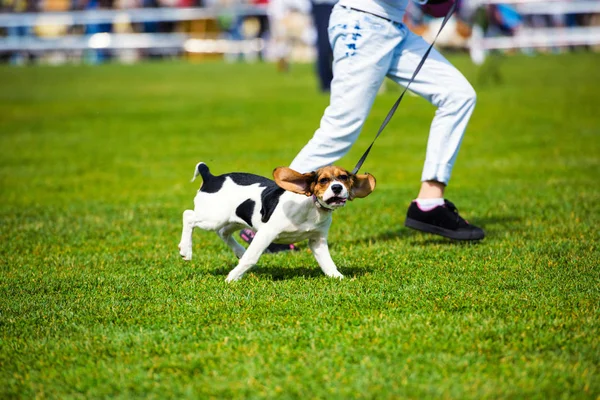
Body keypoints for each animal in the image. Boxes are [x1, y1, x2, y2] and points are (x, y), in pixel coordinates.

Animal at [177, 162, 376, 282]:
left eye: (344, 178)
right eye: (323, 180)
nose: (337, 188)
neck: (312, 207)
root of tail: (211, 177)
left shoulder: (317, 240)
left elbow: (327, 262)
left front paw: (337, 277)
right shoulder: (266, 233)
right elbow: (251, 258)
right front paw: (232, 278)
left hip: (234, 219)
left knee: (223, 232)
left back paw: (239, 250)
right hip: (213, 217)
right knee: (188, 216)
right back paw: (186, 250)